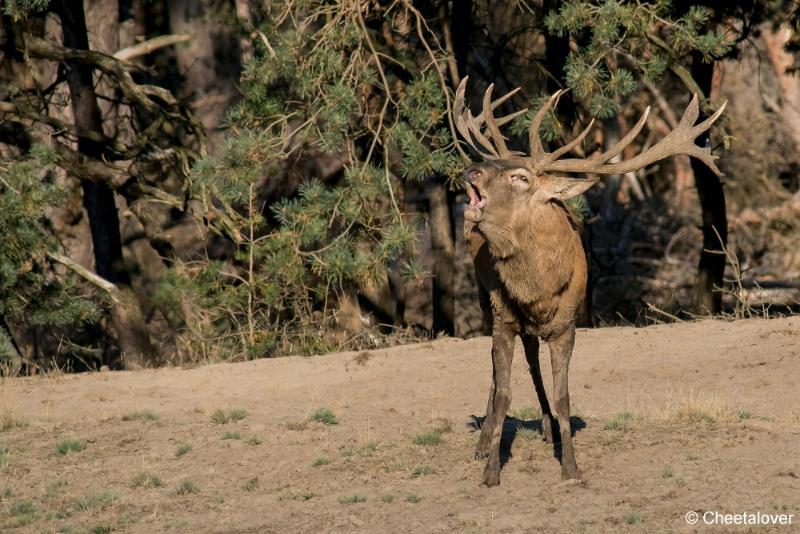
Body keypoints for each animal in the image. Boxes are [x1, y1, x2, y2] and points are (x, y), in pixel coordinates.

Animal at [456, 77, 724, 488]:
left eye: (521, 178)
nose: (473, 169)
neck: (539, 291)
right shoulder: (503, 317)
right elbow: (504, 394)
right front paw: (491, 471)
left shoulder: (568, 324)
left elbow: (564, 397)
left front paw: (570, 467)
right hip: (486, 299)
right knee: (505, 367)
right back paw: (487, 442)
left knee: (532, 358)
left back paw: (547, 427)